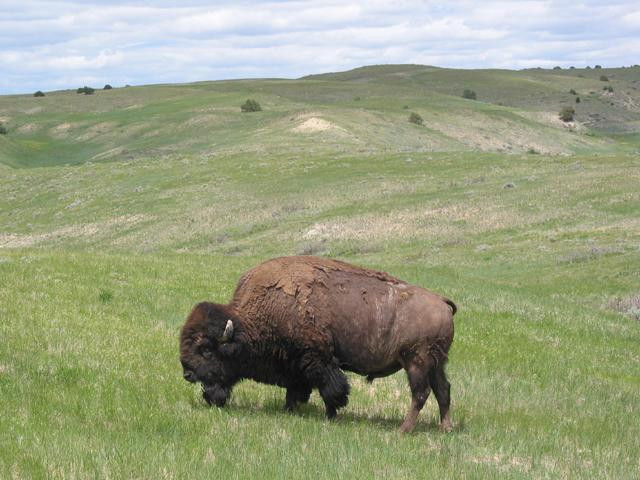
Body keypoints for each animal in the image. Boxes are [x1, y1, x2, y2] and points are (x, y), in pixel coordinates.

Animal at [179, 256, 456, 434]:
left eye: (206, 349)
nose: (187, 374)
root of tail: (442, 301)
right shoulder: (295, 366)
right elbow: (296, 390)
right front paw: (290, 410)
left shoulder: (317, 359)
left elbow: (331, 389)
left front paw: (331, 415)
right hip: (436, 363)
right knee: (443, 390)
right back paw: (445, 429)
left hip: (416, 362)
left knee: (421, 394)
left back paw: (403, 430)